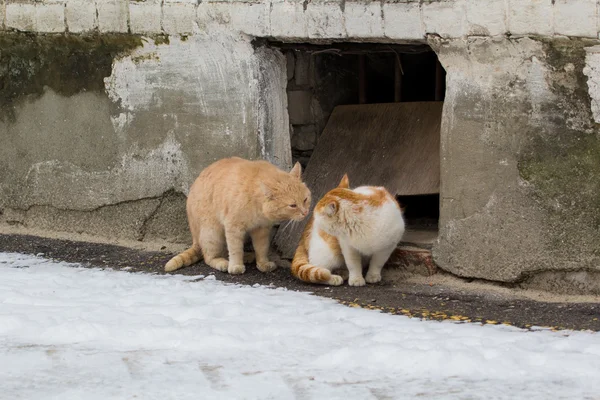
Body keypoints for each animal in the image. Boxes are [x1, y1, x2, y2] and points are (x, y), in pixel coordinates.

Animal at [166, 156, 312, 276]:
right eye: (293, 205)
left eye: (305, 200)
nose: (305, 212)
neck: (257, 204)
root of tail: (194, 238)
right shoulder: (233, 227)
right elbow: (235, 248)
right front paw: (236, 265)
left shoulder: (262, 229)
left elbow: (262, 248)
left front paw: (263, 263)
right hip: (213, 232)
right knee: (209, 256)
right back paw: (223, 262)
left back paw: (247, 256)